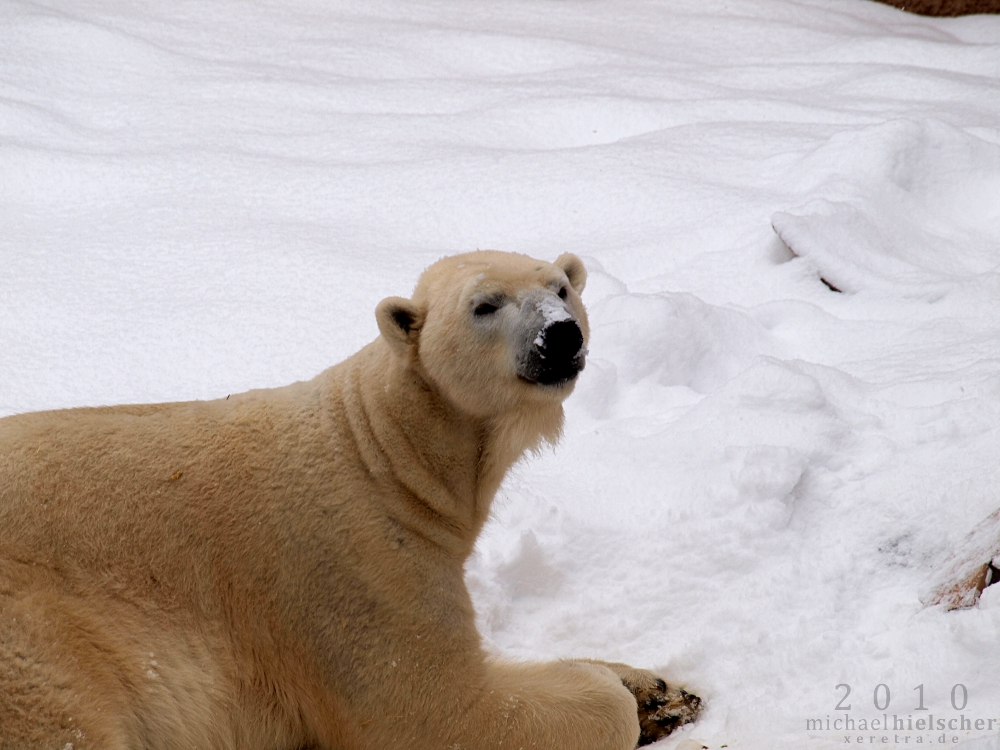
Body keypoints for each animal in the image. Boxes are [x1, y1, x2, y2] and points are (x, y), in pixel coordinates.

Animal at [0, 254, 700, 750]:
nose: (560, 337)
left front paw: (661, 692)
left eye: (561, 288)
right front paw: (621, 699)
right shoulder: (349, 559)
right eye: (485, 305)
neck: (380, 448)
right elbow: (437, 709)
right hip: (39, 636)